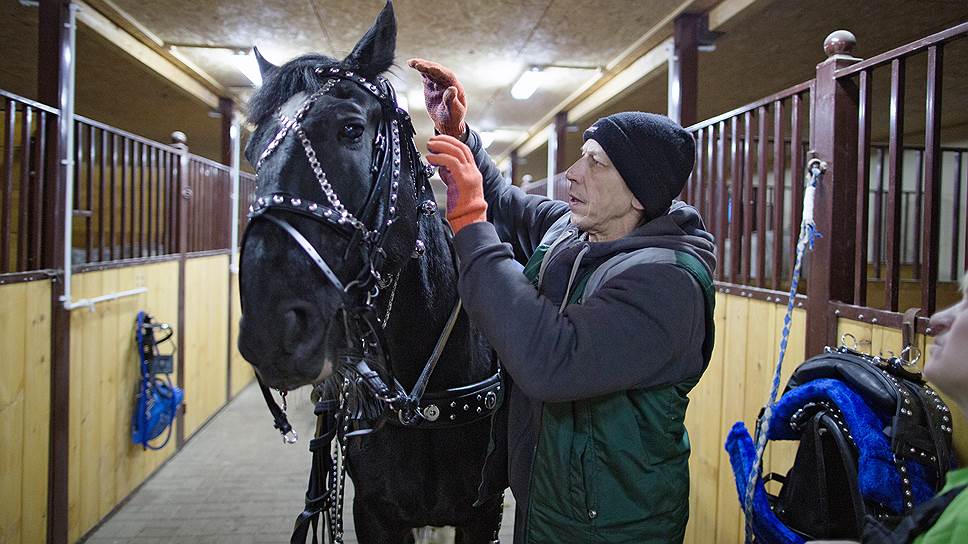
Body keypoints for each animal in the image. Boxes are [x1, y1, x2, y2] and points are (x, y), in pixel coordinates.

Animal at [237, 2, 502, 540]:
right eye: (252, 153)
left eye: (351, 129)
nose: (269, 327)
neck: (422, 400)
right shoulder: (374, 513)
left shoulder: (482, 513)